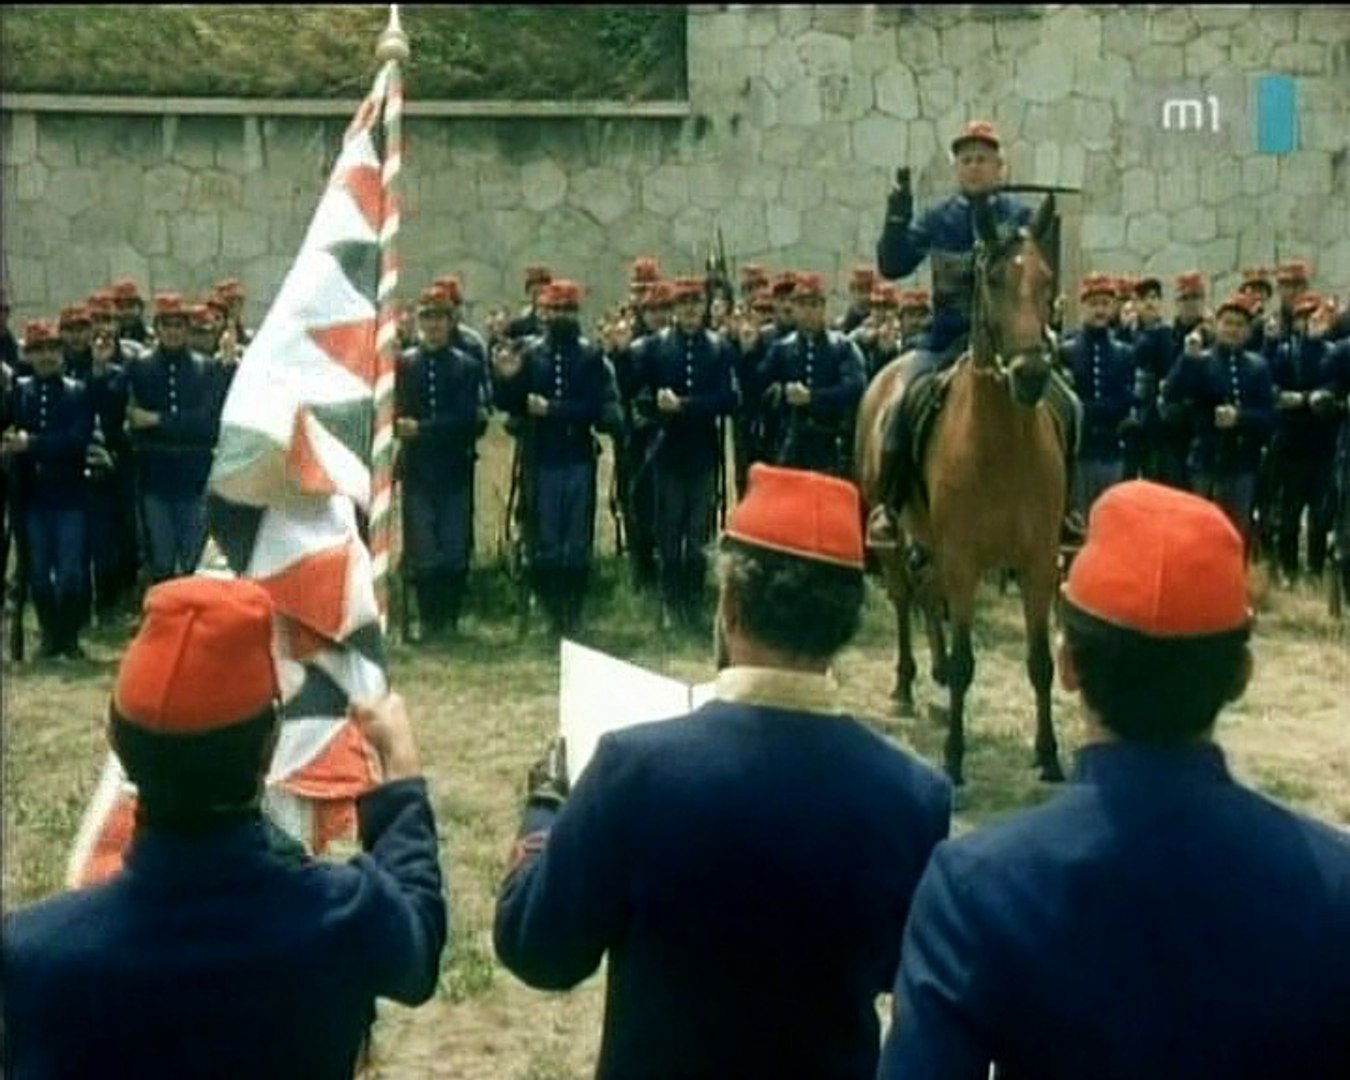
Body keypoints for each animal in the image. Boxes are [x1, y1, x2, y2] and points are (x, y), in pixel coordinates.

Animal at [858, 194, 1069, 783]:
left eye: (1046, 279)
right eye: (992, 279)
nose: (1030, 374)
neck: (1000, 444)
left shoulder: (1037, 563)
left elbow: (1040, 663)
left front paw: (1048, 755)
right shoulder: (963, 559)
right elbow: (965, 661)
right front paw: (953, 757)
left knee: (927, 595)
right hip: (898, 537)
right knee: (905, 596)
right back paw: (905, 682)